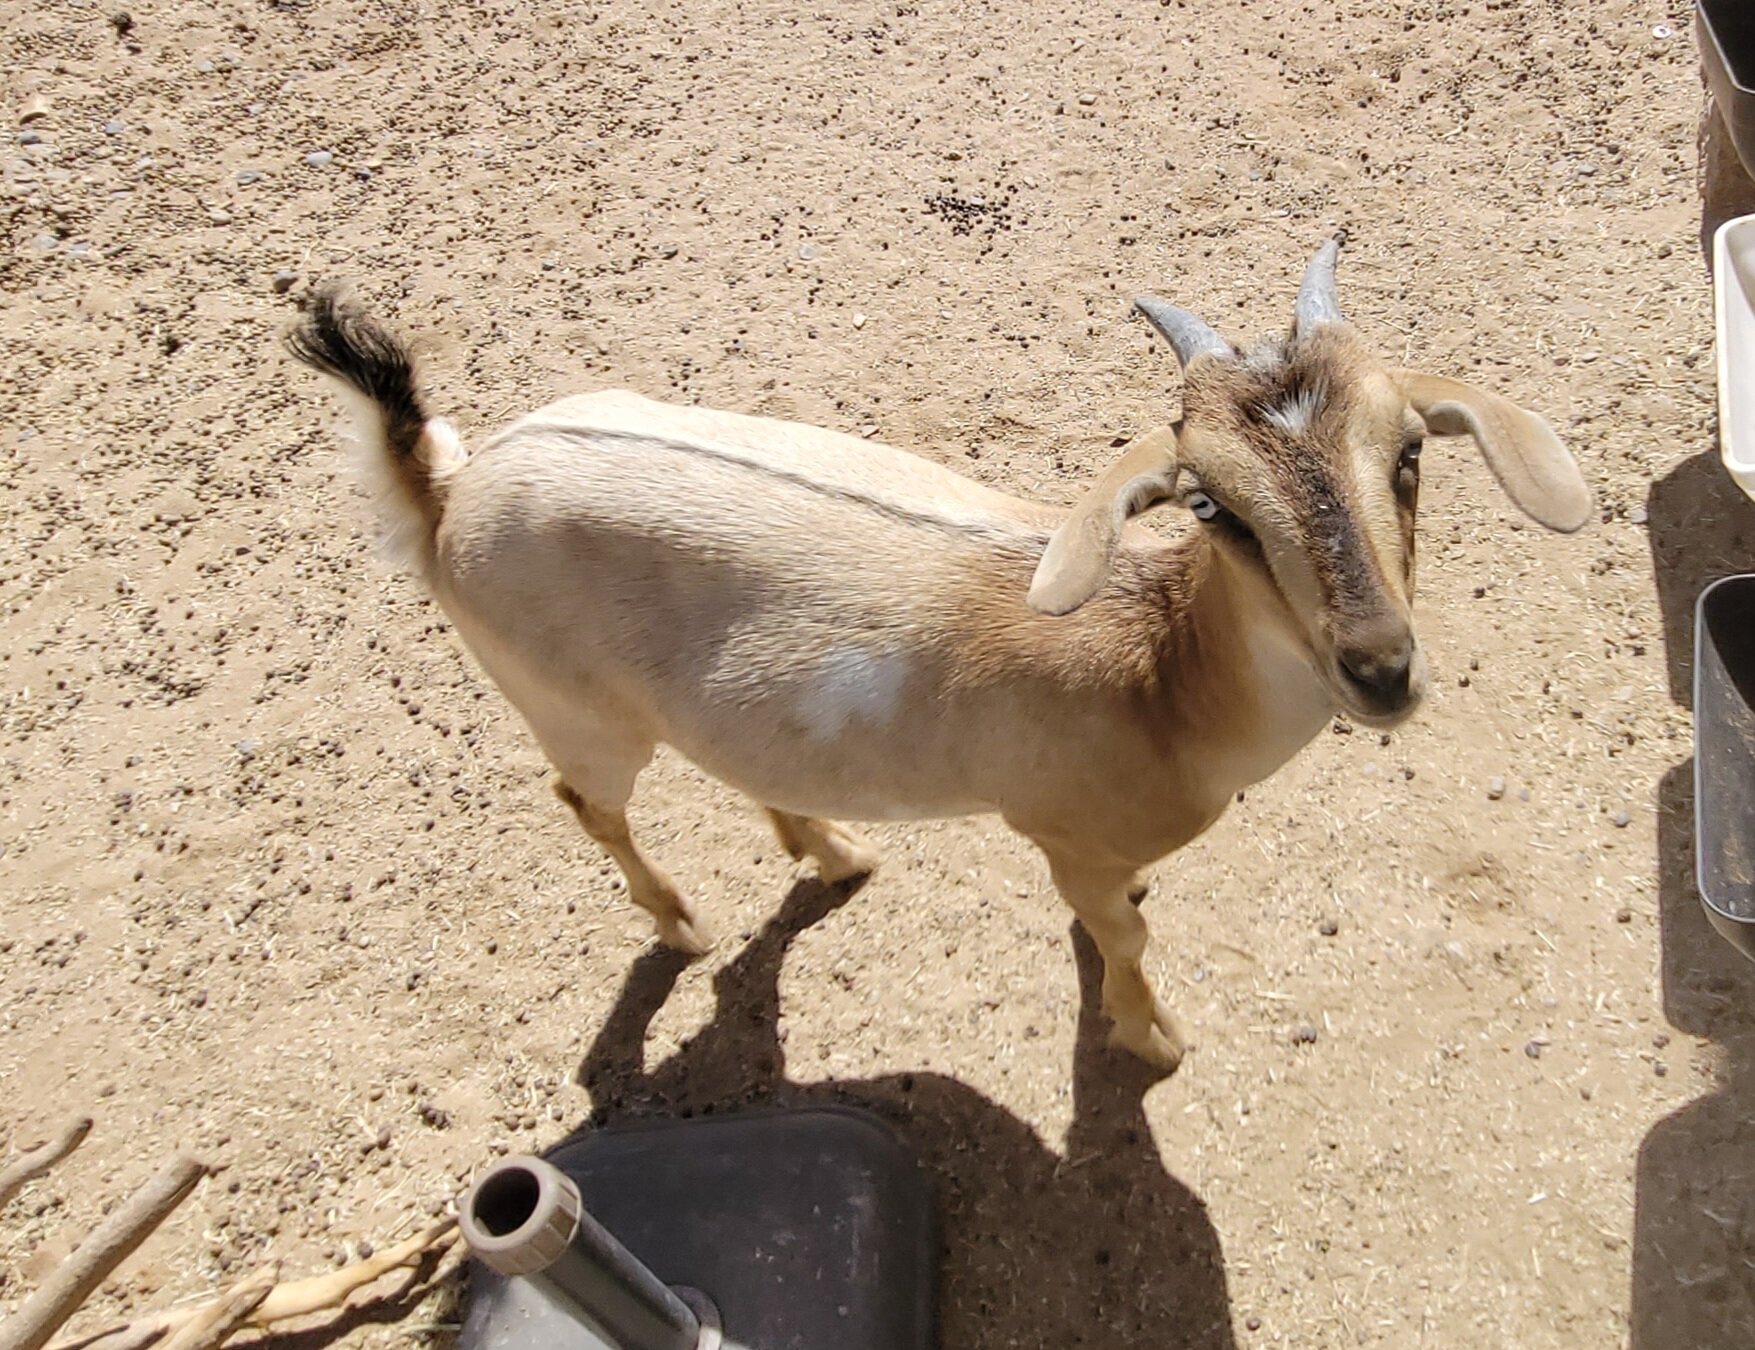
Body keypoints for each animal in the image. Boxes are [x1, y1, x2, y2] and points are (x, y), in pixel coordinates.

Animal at [285, 239, 1589, 1071]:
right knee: (587, 803)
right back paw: (682, 923)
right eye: (1211, 506)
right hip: (575, 716)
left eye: (1410, 452)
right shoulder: (1061, 838)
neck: (1157, 680)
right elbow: (1124, 941)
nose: (1380, 668)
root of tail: (448, 492)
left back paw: (833, 852)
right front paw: (1151, 1038)